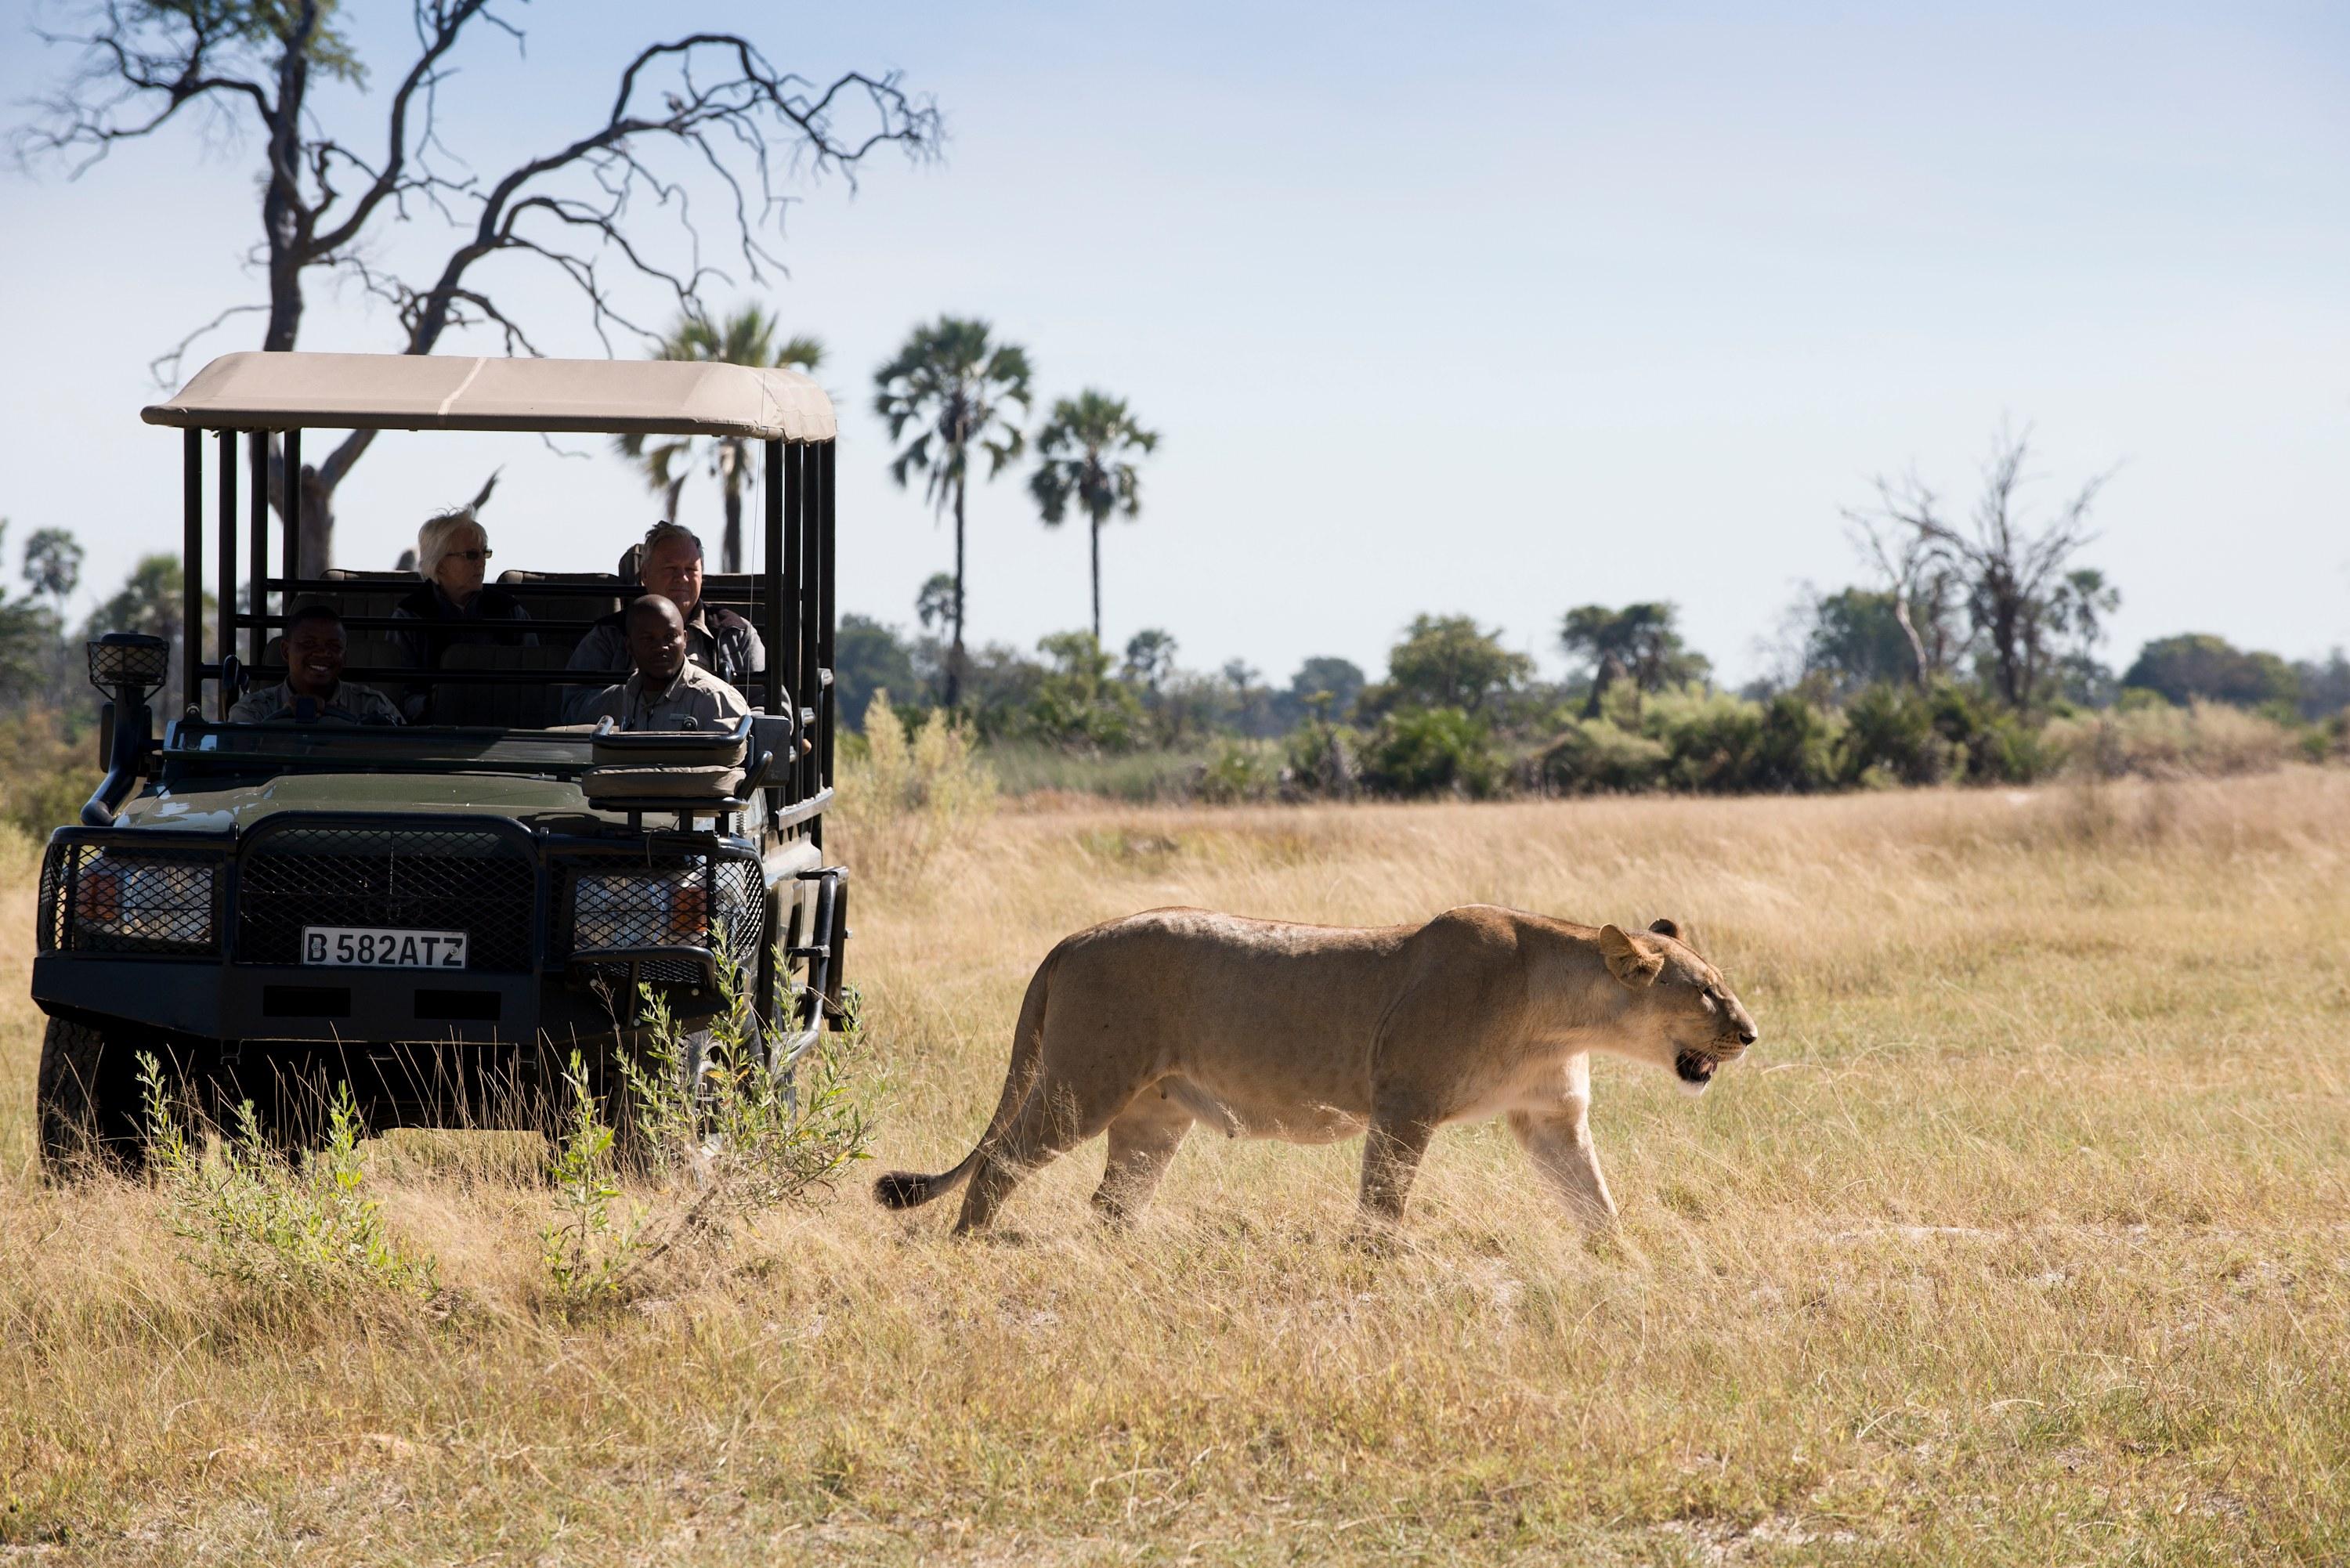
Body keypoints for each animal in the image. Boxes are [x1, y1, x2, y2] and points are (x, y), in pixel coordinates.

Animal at [873, 906, 1759, 1234]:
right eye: (1708, 993)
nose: (1750, 1034)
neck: (1563, 1014)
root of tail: (1072, 937)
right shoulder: (1404, 1105)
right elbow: (1382, 1205)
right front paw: (1380, 1268)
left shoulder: (1551, 1119)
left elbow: (1595, 1204)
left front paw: (1627, 1269)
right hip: (1082, 1085)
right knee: (1000, 1161)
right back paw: (972, 1247)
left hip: (1155, 1112)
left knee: (1112, 1200)